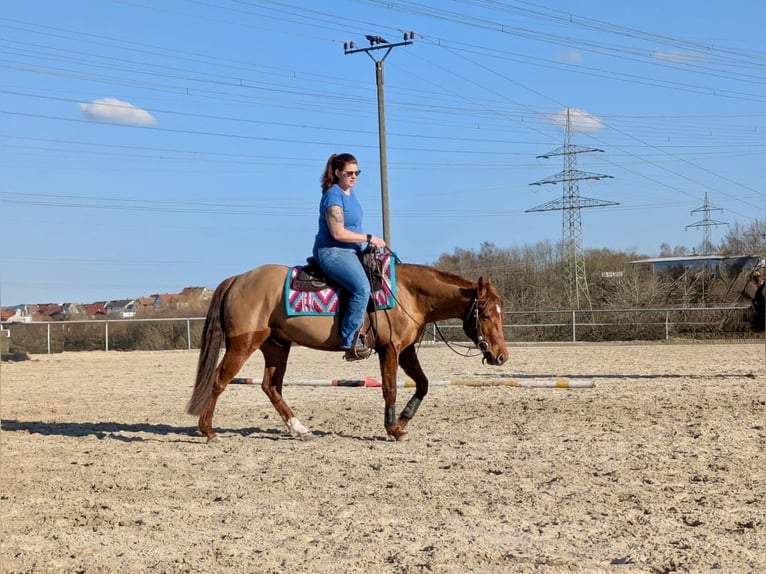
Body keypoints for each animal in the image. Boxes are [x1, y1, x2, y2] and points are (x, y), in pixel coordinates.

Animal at [187, 259, 508, 441]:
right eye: (486, 315)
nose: (501, 356)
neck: (407, 293)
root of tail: (238, 278)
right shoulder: (389, 349)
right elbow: (390, 388)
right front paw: (392, 428)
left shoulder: (406, 351)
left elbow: (423, 384)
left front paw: (402, 422)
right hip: (244, 343)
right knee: (220, 380)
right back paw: (208, 430)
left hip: (276, 346)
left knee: (270, 386)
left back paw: (299, 429)